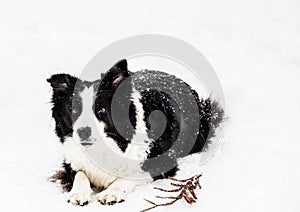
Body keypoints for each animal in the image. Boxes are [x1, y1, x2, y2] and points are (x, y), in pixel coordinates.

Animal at [48, 59, 224, 205]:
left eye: (102, 110)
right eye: (74, 110)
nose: (83, 132)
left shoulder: (163, 162)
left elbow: (130, 175)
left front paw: (112, 192)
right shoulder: (71, 162)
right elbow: (80, 174)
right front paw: (78, 193)